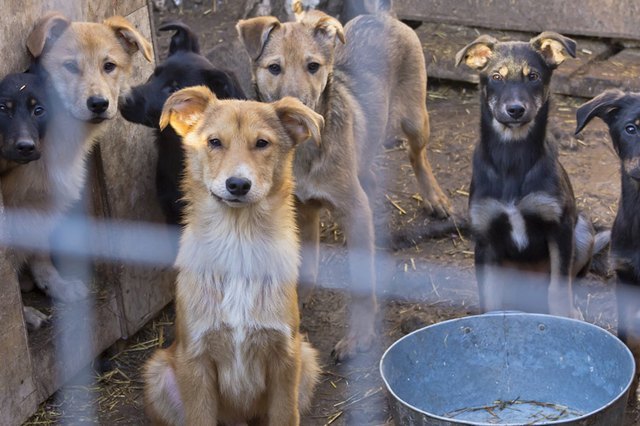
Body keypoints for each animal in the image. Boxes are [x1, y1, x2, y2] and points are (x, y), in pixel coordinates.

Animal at [0, 11, 152, 328]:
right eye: (70, 66)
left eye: (109, 66)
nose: (99, 104)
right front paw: (24, 313)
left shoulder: (44, 209)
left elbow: (41, 256)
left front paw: (57, 286)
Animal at [146, 85, 324, 424]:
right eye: (214, 142)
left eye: (262, 143)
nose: (238, 184)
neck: (239, 242)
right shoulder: (196, 360)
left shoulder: (286, 357)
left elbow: (284, 415)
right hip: (159, 375)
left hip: (307, 361)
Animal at [456, 33, 596, 318]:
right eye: (496, 77)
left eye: (533, 76)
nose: (516, 110)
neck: (513, 156)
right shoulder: (485, 239)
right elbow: (490, 299)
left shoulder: (559, 227)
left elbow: (558, 289)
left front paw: (564, 317)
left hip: (583, 229)